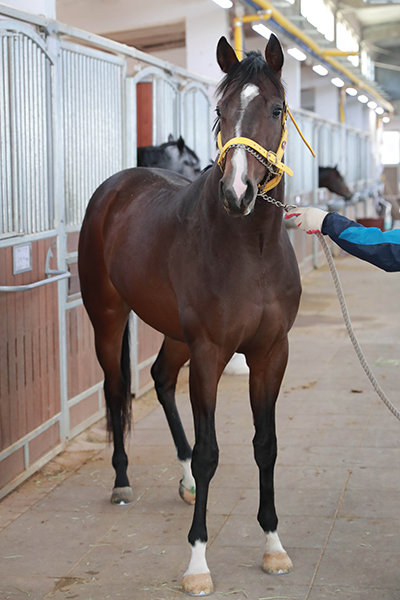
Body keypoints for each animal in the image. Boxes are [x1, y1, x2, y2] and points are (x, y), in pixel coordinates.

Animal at [79, 34, 300, 596]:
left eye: (276, 108)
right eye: (220, 111)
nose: (237, 193)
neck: (251, 249)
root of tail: (114, 187)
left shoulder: (271, 353)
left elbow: (265, 445)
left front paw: (274, 546)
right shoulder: (209, 354)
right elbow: (210, 452)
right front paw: (197, 561)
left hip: (175, 334)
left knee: (159, 377)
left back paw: (182, 482)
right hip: (108, 317)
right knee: (117, 387)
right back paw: (121, 480)